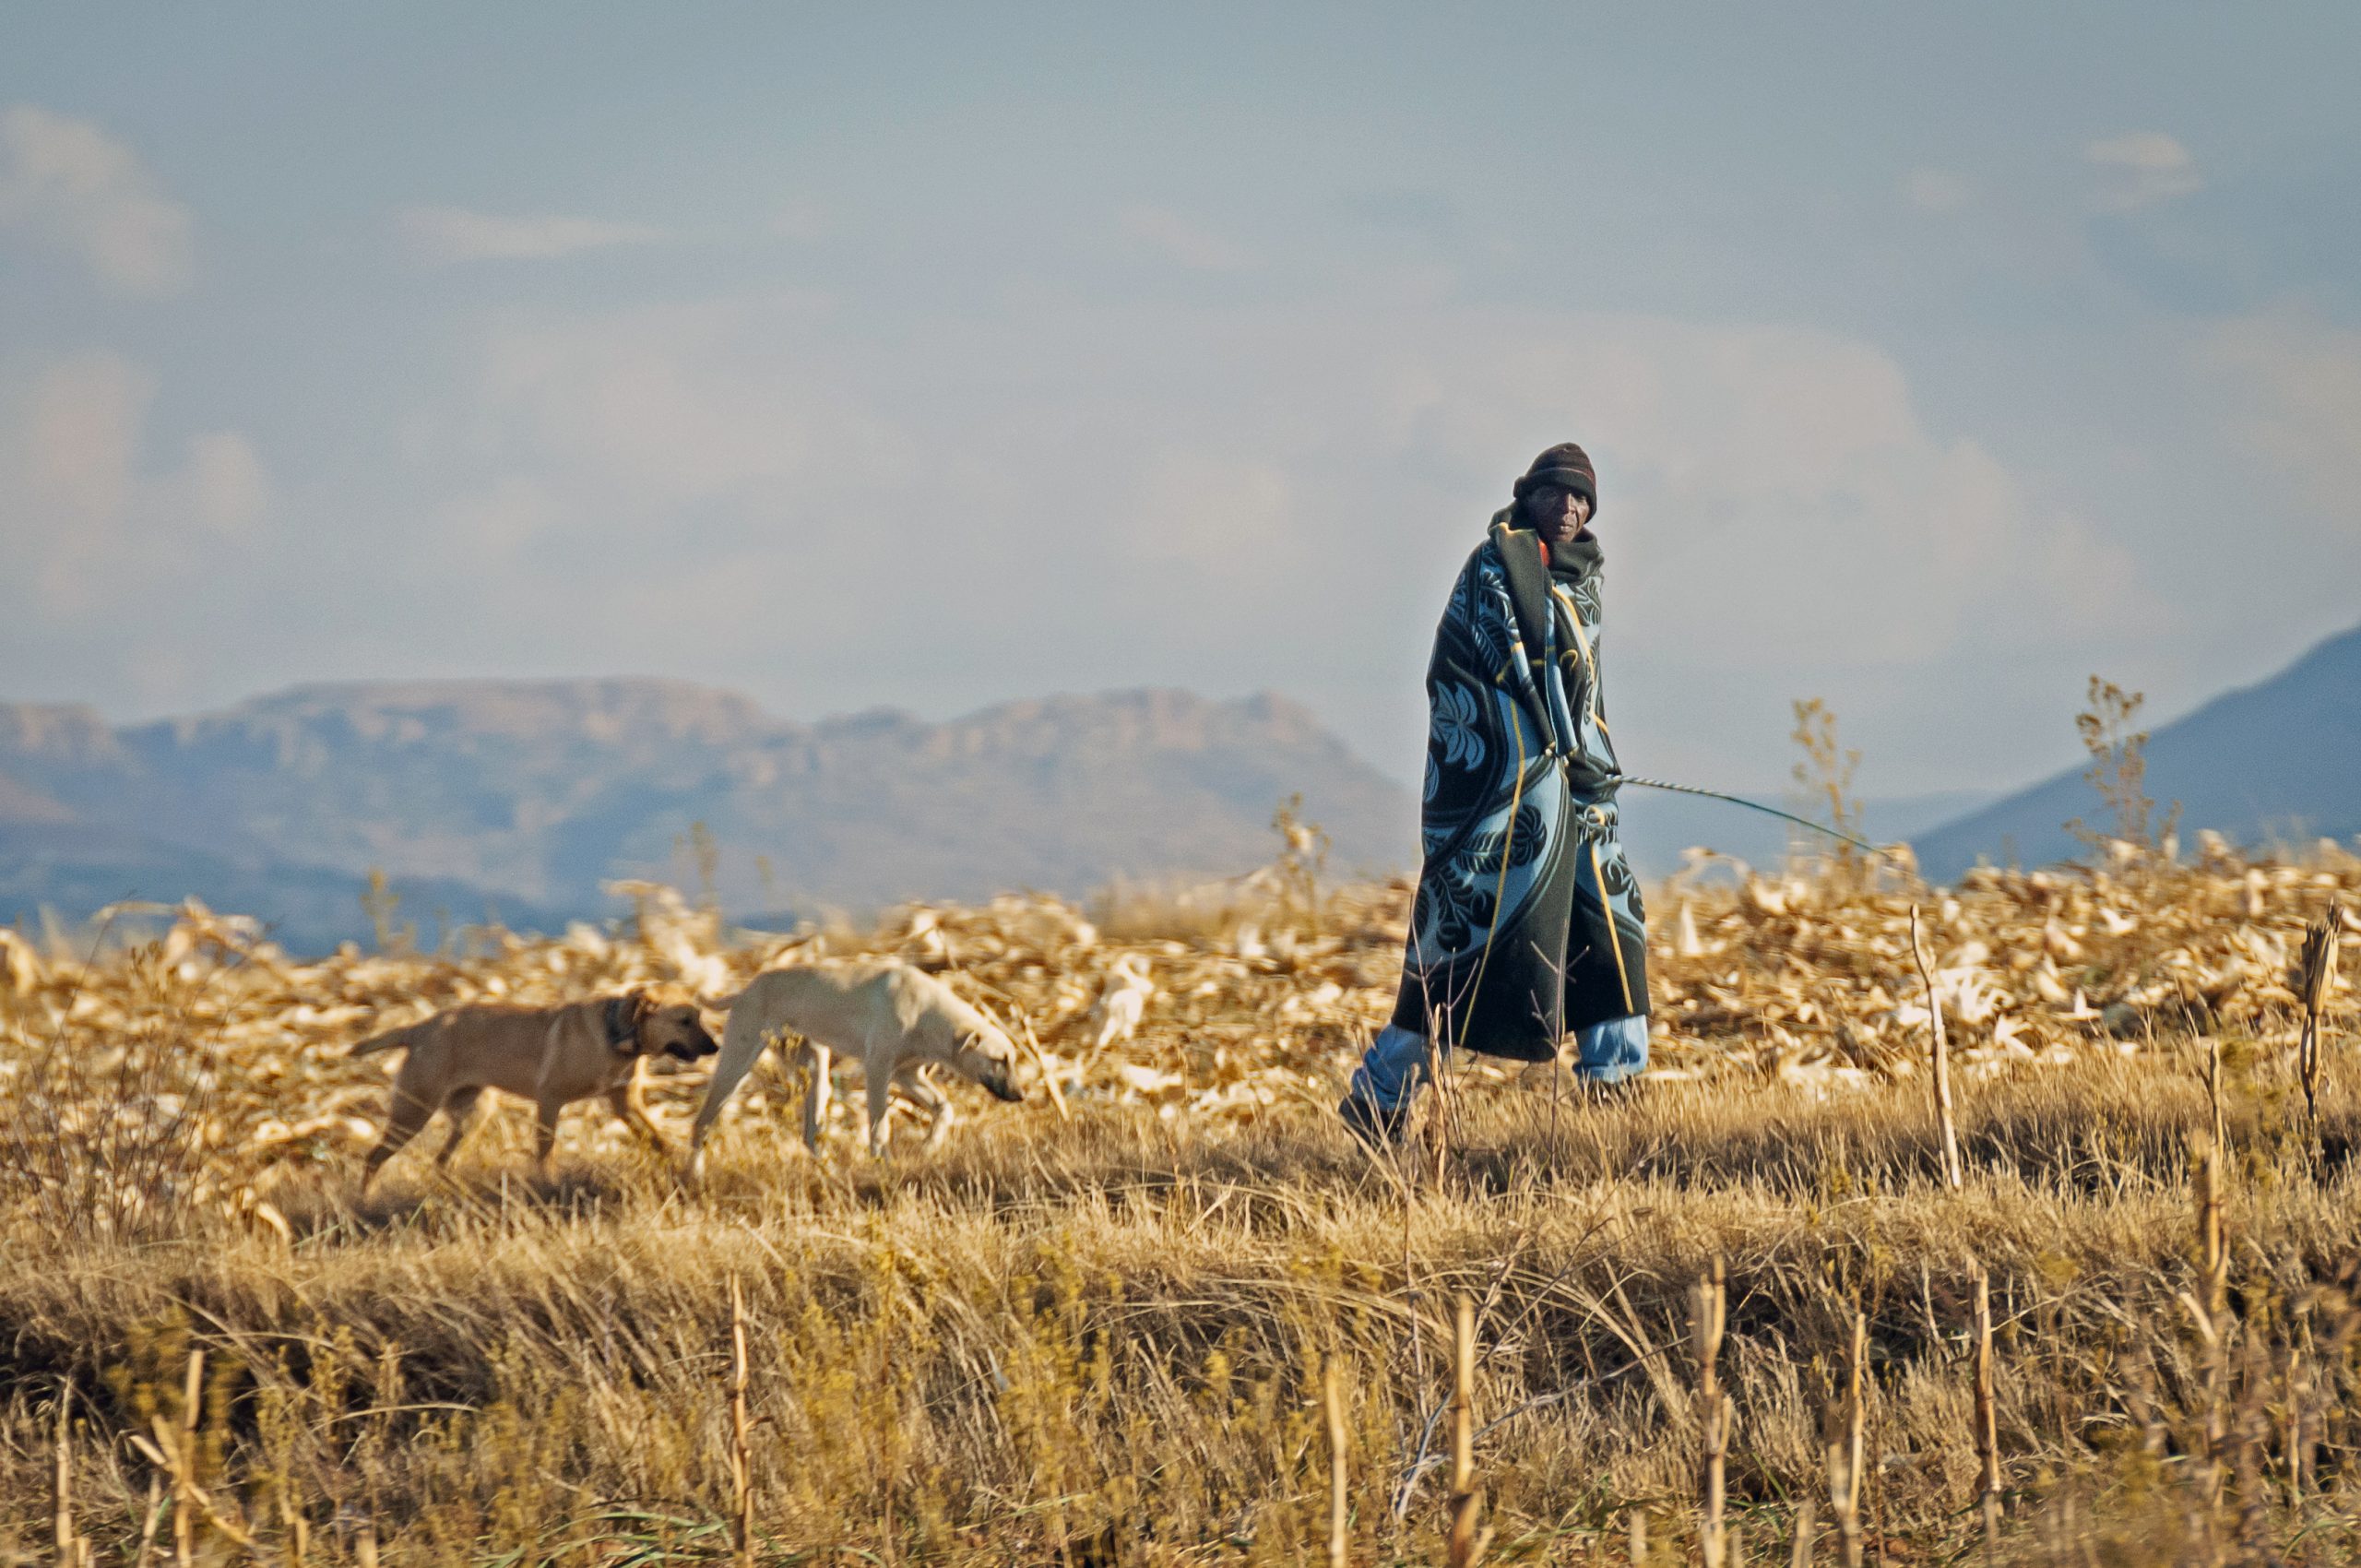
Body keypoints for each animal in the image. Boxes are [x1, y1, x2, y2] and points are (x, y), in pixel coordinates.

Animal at [351, 987, 718, 1194]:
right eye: (684, 1020)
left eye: (699, 1017)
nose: (715, 1047)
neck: (618, 1037)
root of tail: (417, 1029)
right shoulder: (550, 1100)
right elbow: (546, 1151)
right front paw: (550, 1187)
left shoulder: (626, 1105)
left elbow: (658, 1140)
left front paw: (678, 1170)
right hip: (413, 1112)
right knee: (373, 1159)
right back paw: (365, 1203)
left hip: (473, 1115)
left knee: (442, 1163)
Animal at [680, 954, 1019, 1176]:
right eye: (999, 1059)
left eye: (1012, 1059)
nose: (1020, 1096)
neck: (926, 1010)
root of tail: (745, 990)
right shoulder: (878, 1069)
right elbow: (880, 1126)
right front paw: (884, 1166)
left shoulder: (907, 1073)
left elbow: (943, 1109)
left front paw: (930, 1146)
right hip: (736, 1065)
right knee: (702, 1122)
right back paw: (695, 1177)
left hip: (816, 1068)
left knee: (810, 1134)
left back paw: (831, 1172)